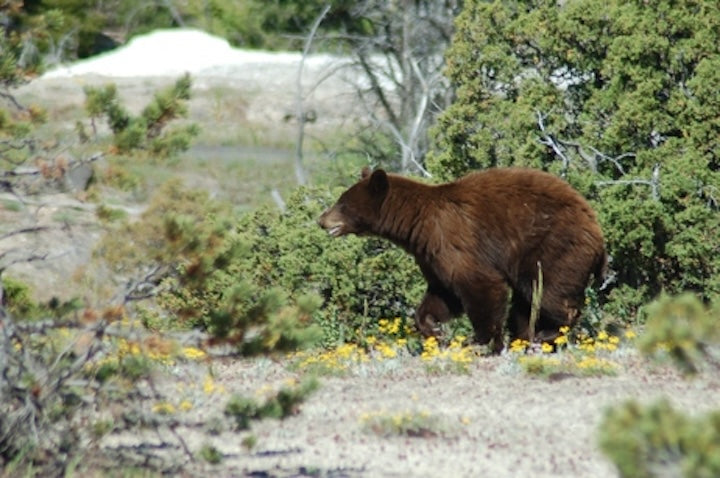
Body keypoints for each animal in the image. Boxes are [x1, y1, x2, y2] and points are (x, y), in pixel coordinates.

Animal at [318, 167, 607, 353]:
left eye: (342, 203)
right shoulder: (432, 256)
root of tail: (596, 228)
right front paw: (432, 329)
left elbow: (480, 285)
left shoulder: (456, 243)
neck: (418, 223)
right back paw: (526, 338)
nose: (322, 220)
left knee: (548, 292)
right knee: (527, 304)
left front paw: (481, 341)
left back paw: (547, 334)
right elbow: (443, 295)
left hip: (553, 247)